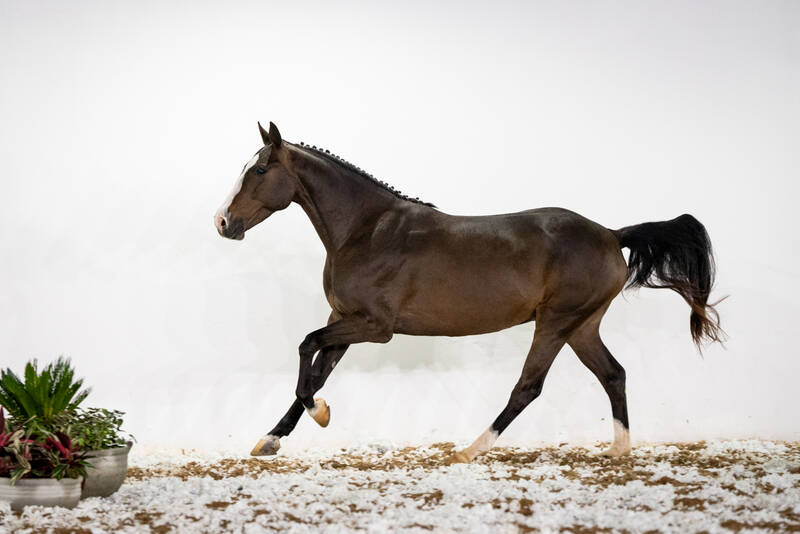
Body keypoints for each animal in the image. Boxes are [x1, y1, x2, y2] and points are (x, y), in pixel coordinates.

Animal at [214, 122, 724, 464]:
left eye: (260, 169)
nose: (222, 222)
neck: (366, 230)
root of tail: (611, 234)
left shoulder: (374, 327)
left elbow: (306, 350)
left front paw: (320, 415)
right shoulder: (343, 320)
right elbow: (316, 373)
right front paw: (270, 439)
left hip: (556, 322)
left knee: (528, 387)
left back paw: (469, 450)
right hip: (582, 326)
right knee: (613, 374)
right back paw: (618, 451)